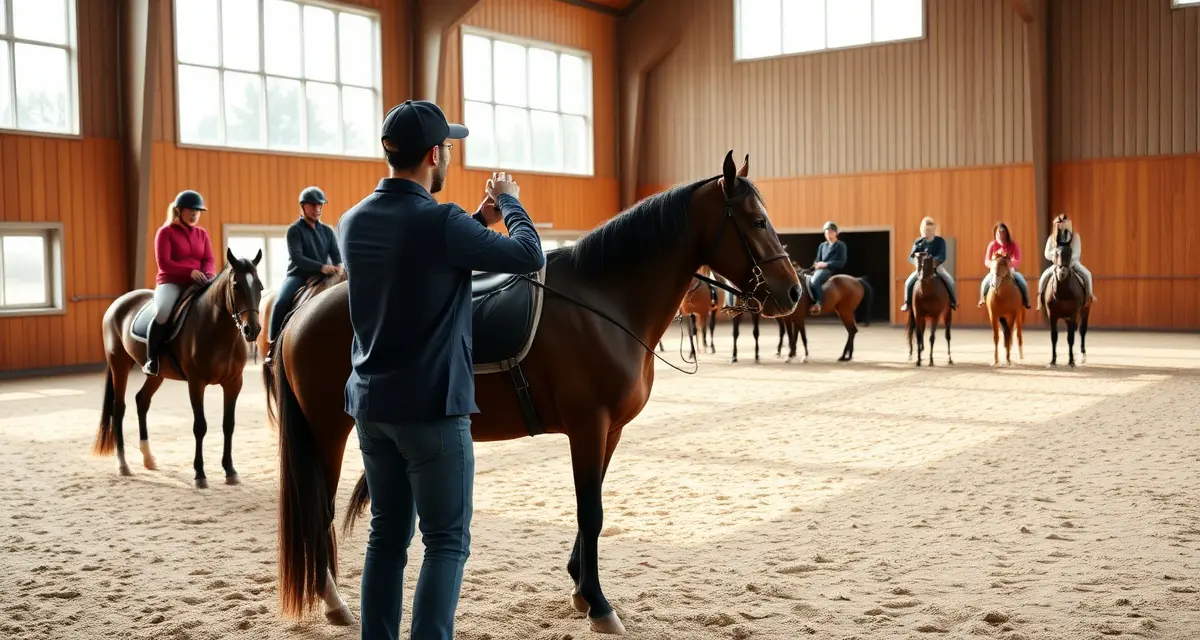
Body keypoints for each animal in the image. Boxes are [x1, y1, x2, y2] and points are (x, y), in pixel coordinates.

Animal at [92, 248, 264, 488]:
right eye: (236, 286)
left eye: (260, 287)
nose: (252, 330)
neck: (218, 331)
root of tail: (119, 302)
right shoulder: (196, 383)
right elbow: (200, 426)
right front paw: (200, 474)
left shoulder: (233, 383)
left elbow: (228, 425)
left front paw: (230, 471)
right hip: (119, 365)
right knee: (119, 409)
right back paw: (123, 465)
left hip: (156, 374)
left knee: (141, 400)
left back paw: (149, 459)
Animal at [265, 151, 801, 634]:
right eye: (756, 221)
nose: (794, 293)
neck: (604, 301)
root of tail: (302, 314)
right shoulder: (587, 426)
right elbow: (591, 512)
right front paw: (599, 604)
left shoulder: (609, 431)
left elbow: (593, 508)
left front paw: (581, 589)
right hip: (327, 433)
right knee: (318, 511)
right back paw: (334, 602)